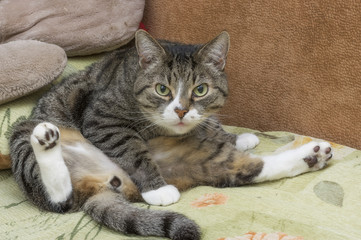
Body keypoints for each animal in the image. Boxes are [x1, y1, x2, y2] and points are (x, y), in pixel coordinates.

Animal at [9, 30, 332, 240]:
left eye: (200, 89)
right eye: (162, 89)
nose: (180, 111)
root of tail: (104, 185)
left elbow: (212, 124)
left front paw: (237, 137)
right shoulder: (102, 119)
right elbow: (132, 149)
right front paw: (157, 187)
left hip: (205, 160)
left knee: (250, 168)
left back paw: (312, 155)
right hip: (22, 133)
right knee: (58, 197)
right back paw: (46, 140)